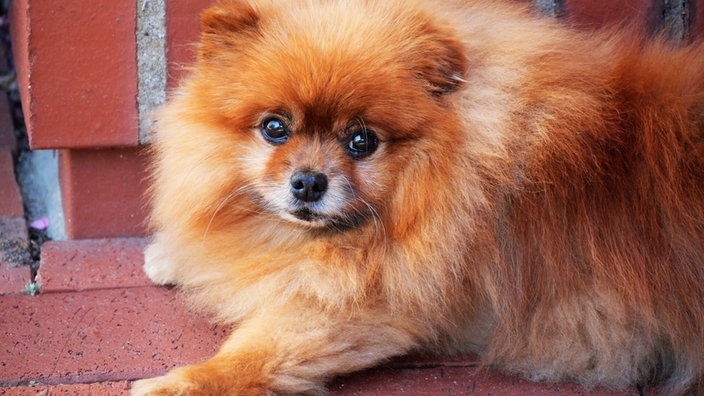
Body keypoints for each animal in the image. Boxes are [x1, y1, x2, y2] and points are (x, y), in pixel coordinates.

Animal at [132, 0, 704, 394]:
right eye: (275, 128)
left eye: (362, 141)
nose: (309, 182)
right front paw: (173, 256)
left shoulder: (374, 306)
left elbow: (254, 350)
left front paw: (179, 383)